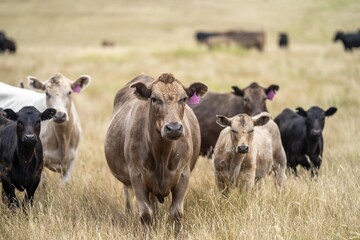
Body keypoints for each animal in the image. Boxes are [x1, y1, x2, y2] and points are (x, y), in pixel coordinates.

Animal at [104, 73, 207, 229]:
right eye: (154, 99)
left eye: (184, 98)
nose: (174, 128)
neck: (162, 156)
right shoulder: (137, 175)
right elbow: (146, 214)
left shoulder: (183, 174)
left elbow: (176, 213)